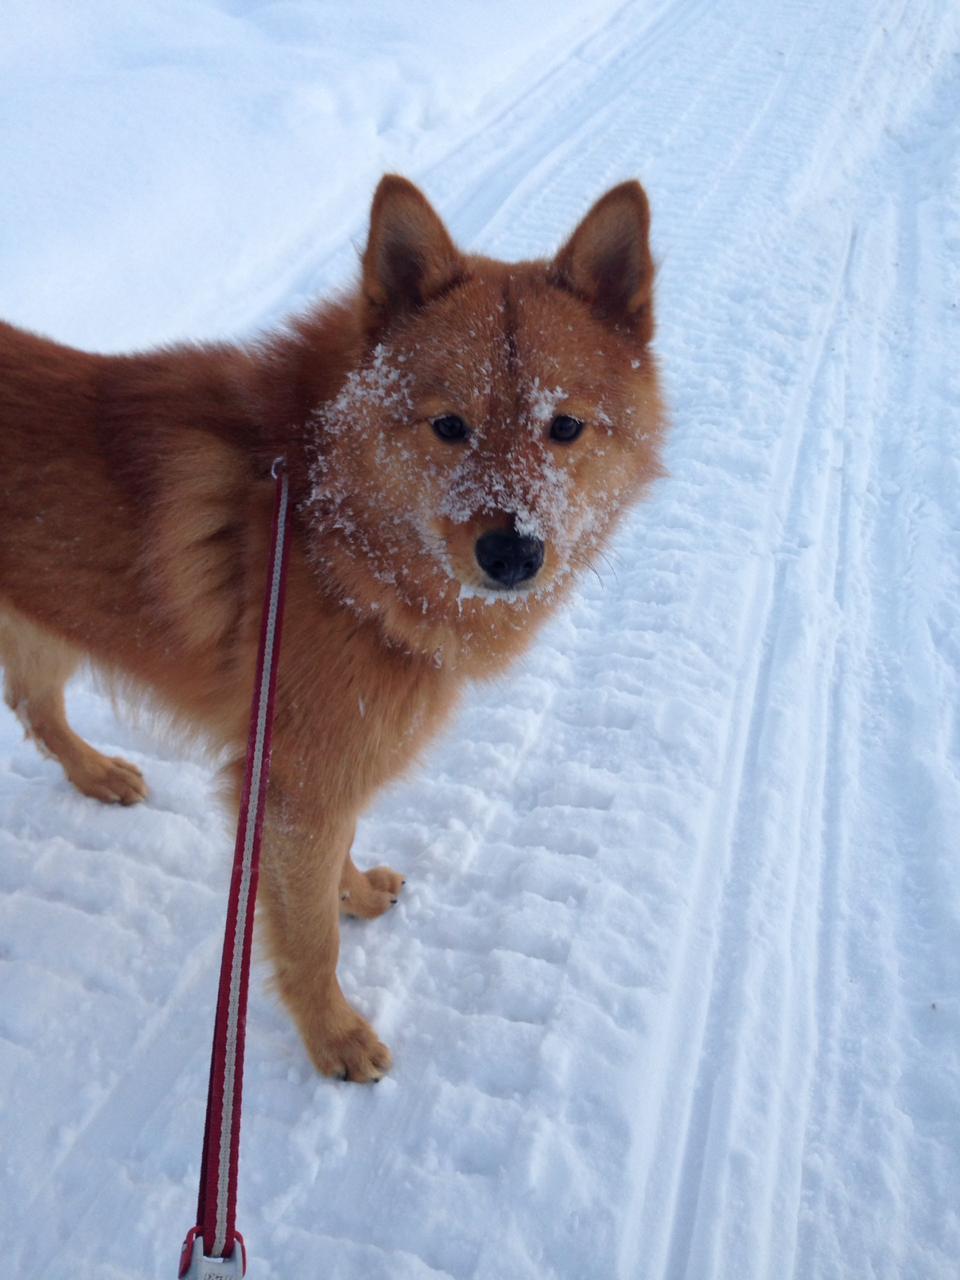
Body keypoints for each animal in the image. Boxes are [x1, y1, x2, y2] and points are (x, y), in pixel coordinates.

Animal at [0, 177, 670, 1080]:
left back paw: (96, 773)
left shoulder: (326, 766)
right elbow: (309, 935)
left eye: (564, 426)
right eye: (448, 426)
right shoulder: (295, 781)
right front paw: (333, 1034)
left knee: (36, 707)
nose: (513, 553)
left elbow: (335, 860)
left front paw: (352, 895)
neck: (324, 522)